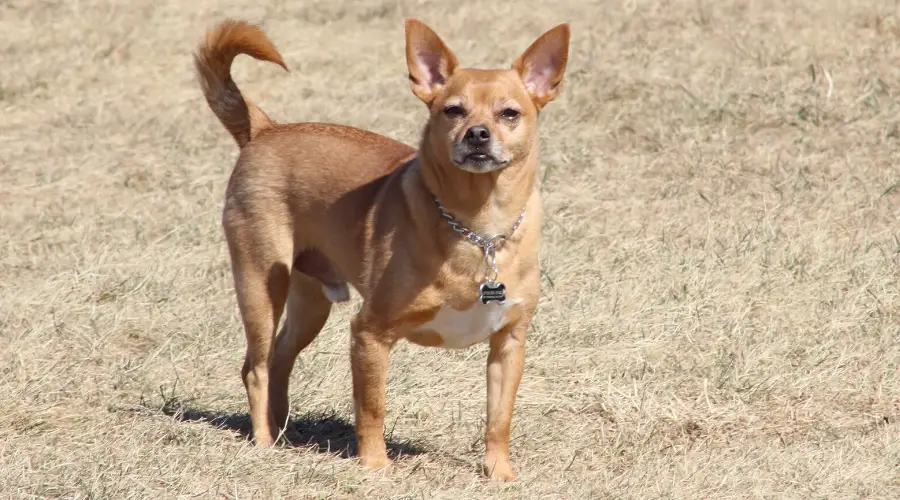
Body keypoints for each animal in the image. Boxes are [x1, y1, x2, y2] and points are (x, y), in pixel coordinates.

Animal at [196, 16, 568, 480]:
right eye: (453, 110)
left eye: (509, 113)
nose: (478, 134)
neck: (479, 228)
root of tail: (266, 129)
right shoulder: (369, 334)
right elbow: (372, 406)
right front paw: (374, 465)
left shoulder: (509, 343)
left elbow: (499, 419)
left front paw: (499, 473)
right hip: (261, 286)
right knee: (257, 367)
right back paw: (264, 441)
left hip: (310, 303)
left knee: (281, 359)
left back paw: (281, 429)